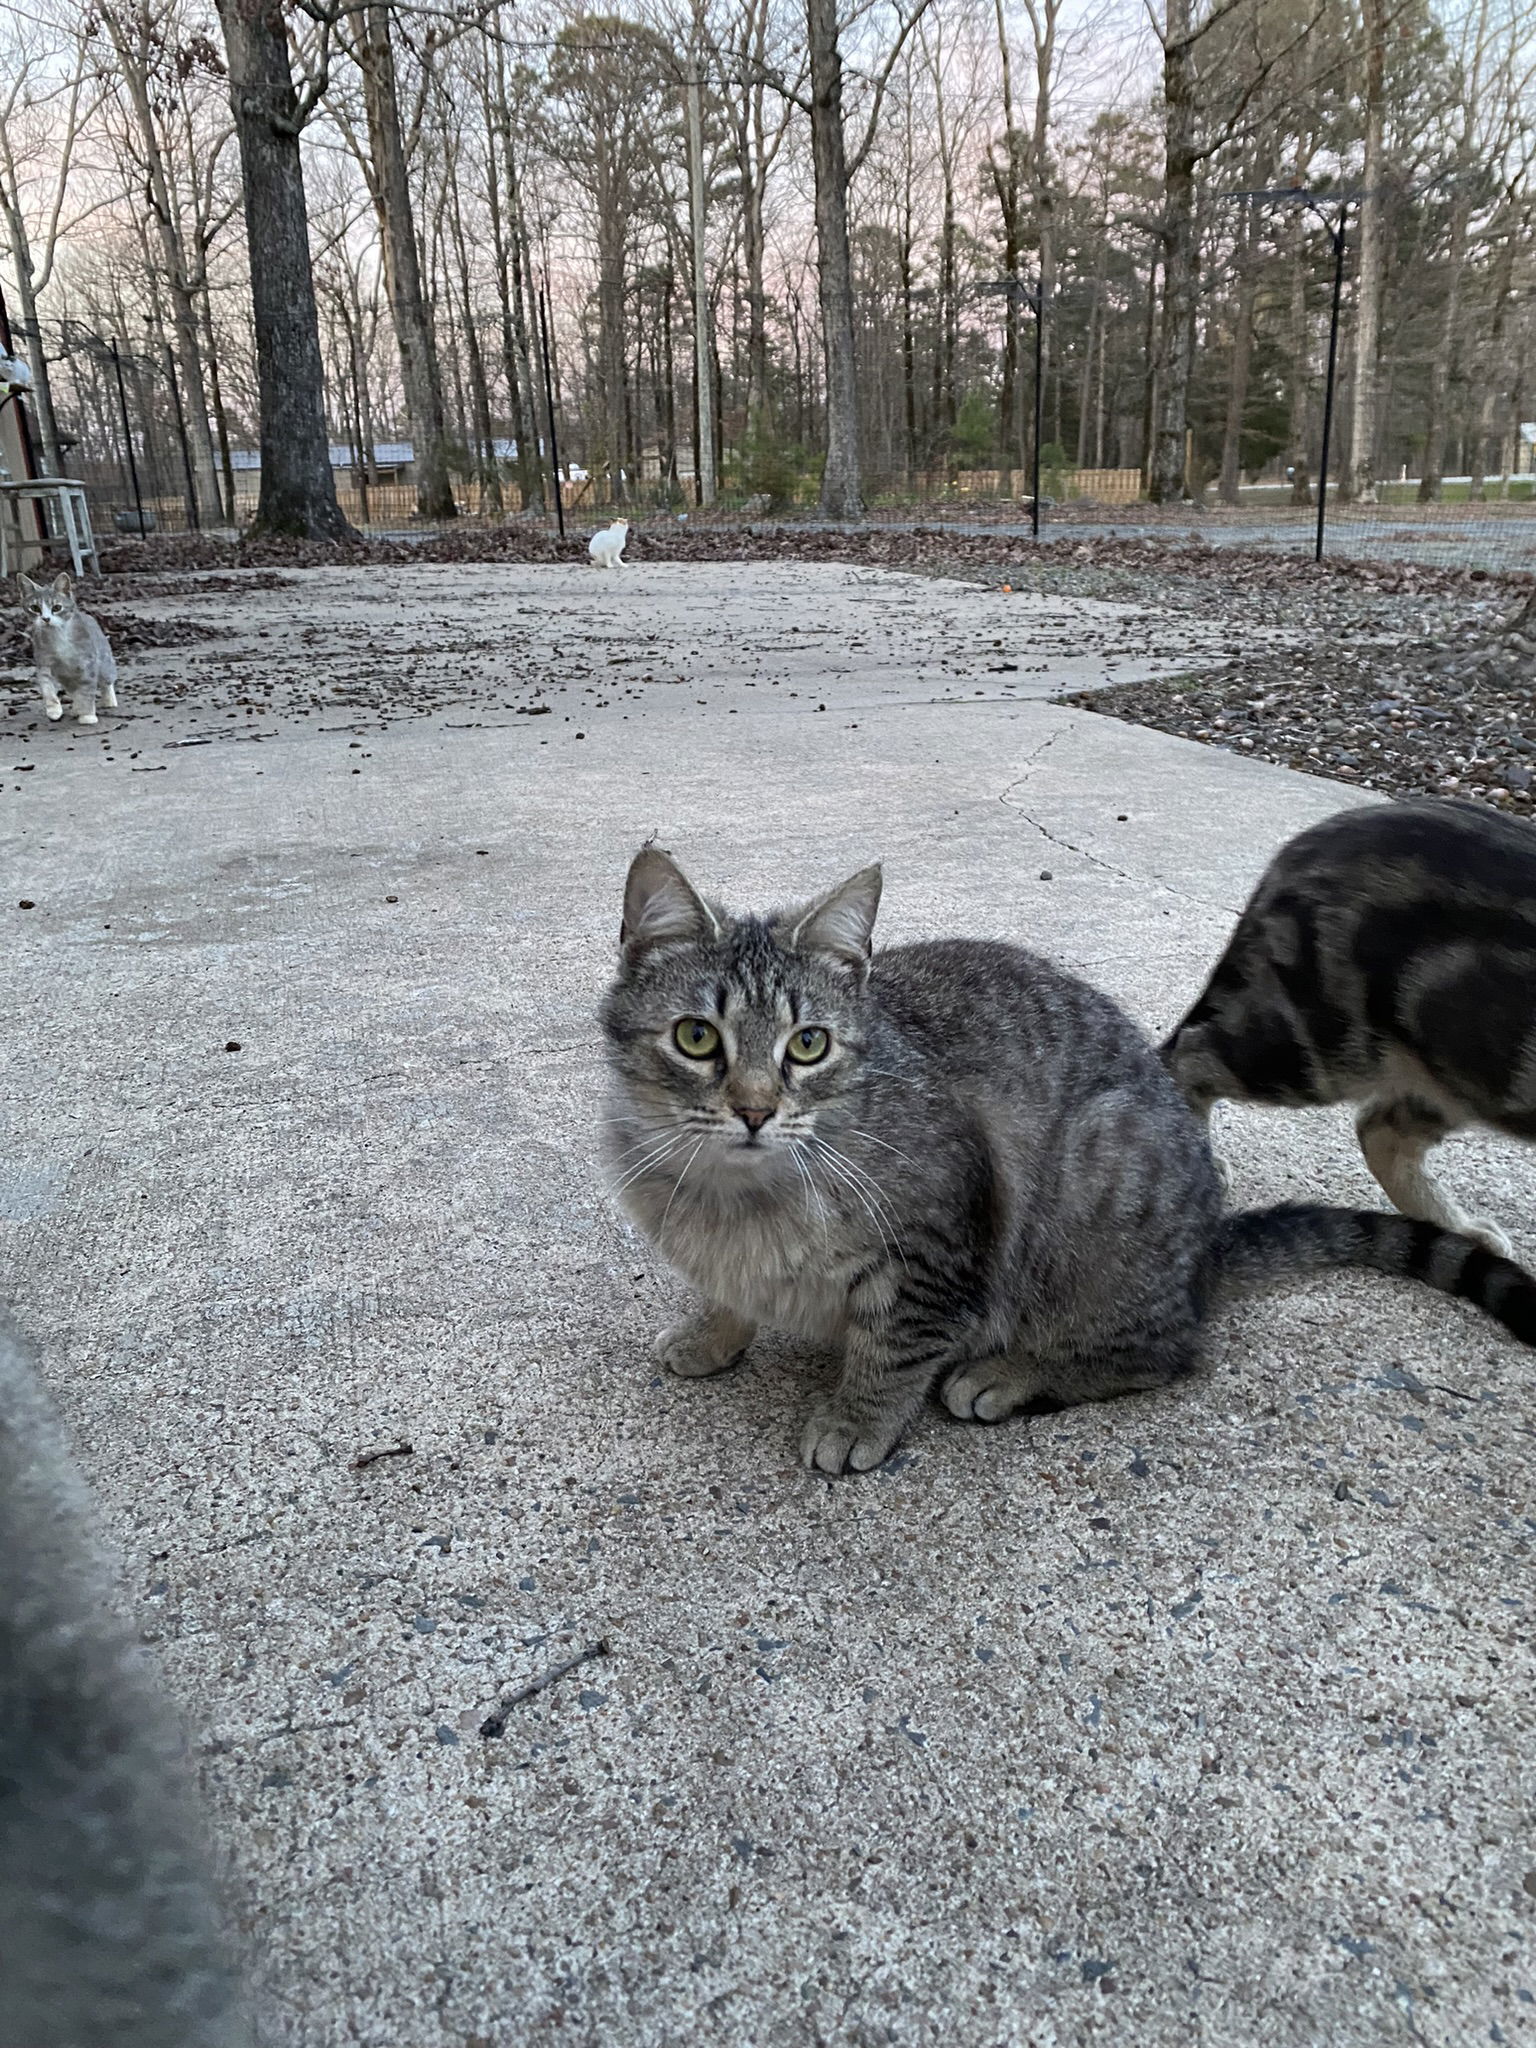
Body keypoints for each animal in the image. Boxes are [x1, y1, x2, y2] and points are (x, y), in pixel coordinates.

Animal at [18, 573, 118, 733]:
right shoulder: (44, 663)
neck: (58, 636)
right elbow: (47, 688)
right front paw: (54, 709)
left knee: (106, 681)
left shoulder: (88, 665)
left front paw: (88, 715)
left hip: (104, 663)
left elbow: (87, 690)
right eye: (35, 608)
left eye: (57, 607)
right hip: (66, 677)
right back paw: (76, 707)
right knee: (74, 690)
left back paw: (108, 700)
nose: (46, 619)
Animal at [1163, 802, 1536, 1261]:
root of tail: (1304, 842)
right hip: (1318, 1042)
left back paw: (1459, 1229)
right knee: (1189, 1055)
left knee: (1381, 1131)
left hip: (1457, 1068)